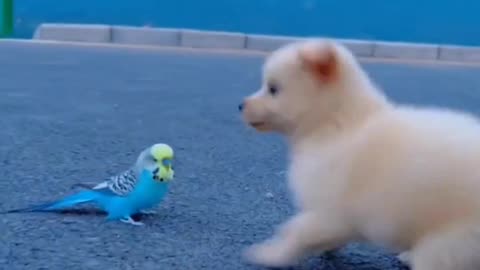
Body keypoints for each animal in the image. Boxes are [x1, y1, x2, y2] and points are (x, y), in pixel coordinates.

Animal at [240, 38, 480, 270]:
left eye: (273, 89)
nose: (241, 105)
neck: (336, 122)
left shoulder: (330, 212)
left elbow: (297, 233)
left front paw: (271, 255)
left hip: (449, 244)